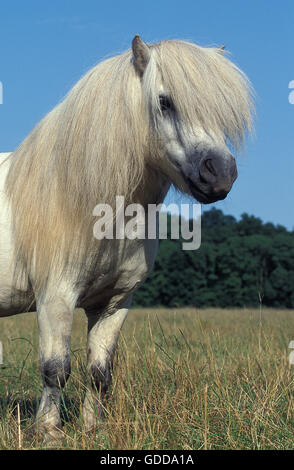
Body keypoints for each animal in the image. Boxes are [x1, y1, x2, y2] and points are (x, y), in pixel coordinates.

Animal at [0, 35, 253, 440]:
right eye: (164, 101)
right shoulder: (55, 297)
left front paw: (94, 430)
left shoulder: (114, 303)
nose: (220, 174)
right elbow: (56, 368)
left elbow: (99, 372)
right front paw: (50, 432)